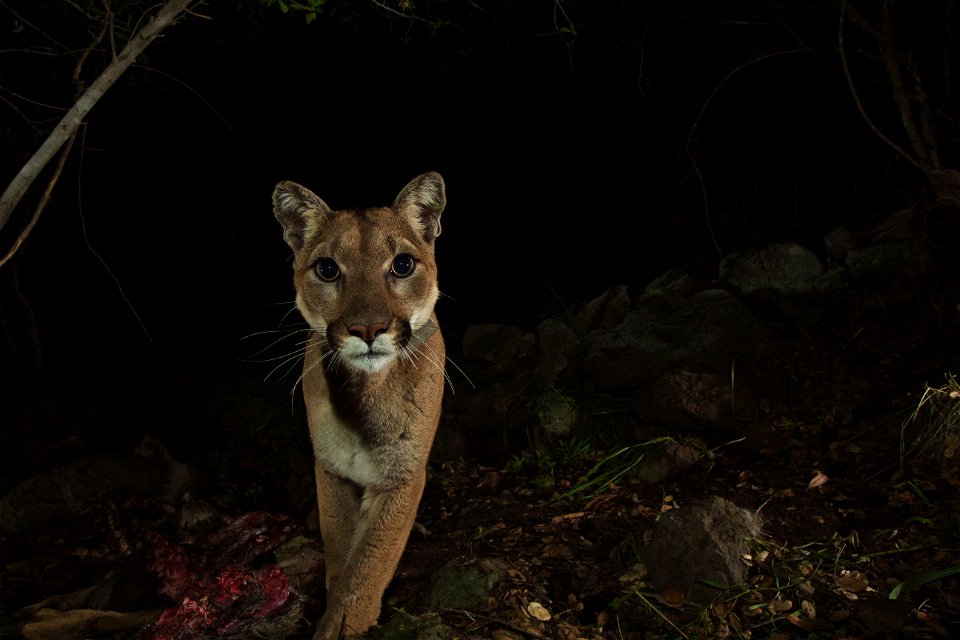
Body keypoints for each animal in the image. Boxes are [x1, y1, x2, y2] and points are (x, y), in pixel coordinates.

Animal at [272, 172, 448, 636]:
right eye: (327, 269)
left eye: (402, 265)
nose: (368, 329)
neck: (364, 394)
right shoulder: (331, 468)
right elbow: (341, 549)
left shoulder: (403, 473)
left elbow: (373, 555)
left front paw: (345, 620)